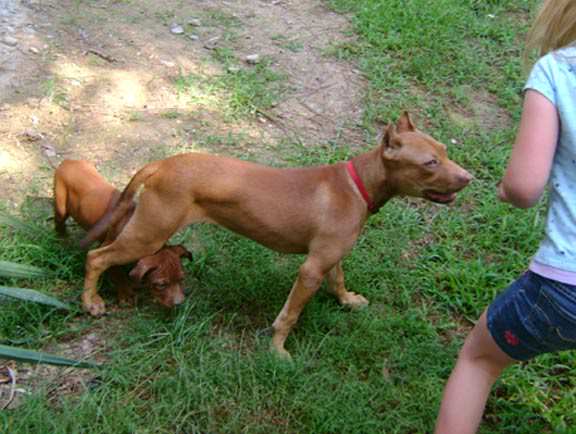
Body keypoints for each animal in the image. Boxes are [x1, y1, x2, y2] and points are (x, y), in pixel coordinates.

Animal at [52, 160, 191, 308]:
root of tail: (68, 161)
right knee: (59, 223)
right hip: (61, 206)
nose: (179, 303)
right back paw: (62, 239)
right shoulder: (107, 249)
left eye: (181, 279)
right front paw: (126, 294)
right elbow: (117, 273)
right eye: (160, 285)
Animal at [80, 112, 472, 360]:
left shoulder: (330, 257)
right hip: (148, 234)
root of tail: (161, 164)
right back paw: (91, 302)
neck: (357, 185)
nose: (469, 178)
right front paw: (278, 350)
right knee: (96, 256)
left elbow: (339, 279)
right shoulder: (310, 270)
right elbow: (290, 316)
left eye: (444, 152)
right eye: (429, 163)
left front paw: (347, 301)